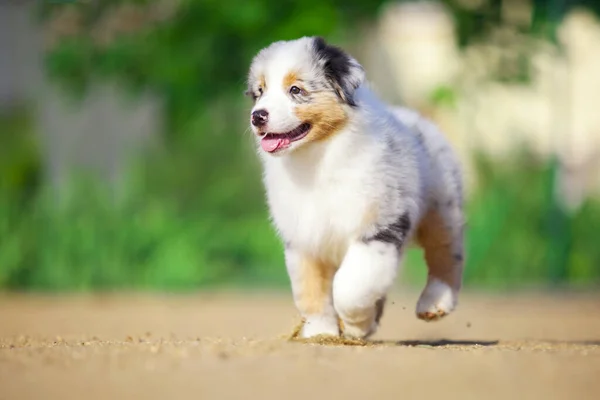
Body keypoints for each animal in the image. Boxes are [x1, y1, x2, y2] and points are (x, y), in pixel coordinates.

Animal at [244, 36, 464, 340]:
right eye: (260, 92)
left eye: (296, 90)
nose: (257, 116)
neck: (317, 158)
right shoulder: (303, 238)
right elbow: (310, 290)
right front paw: (321, 331)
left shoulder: (378, 228)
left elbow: (350, 286)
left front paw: (355, 324)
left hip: (442, 209)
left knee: (446, 253)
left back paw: (435, 302)